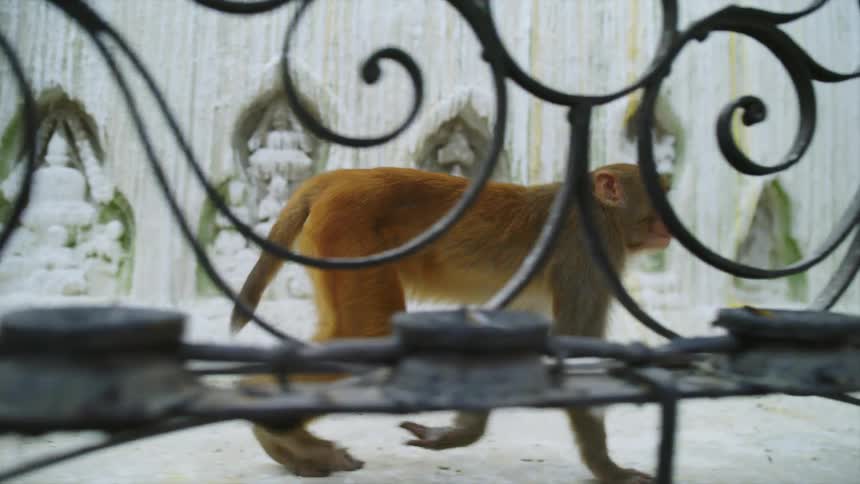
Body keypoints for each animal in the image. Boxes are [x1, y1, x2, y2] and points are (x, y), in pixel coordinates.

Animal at [230, 163, 671, 483]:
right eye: (658, 193)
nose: (670, 222)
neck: (601, 211)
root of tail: (331, 179)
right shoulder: (589, 249)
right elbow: (576, 345)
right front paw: (609, 471)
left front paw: (455, 435)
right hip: (349, 234)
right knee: (371, 337)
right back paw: (273, 419)